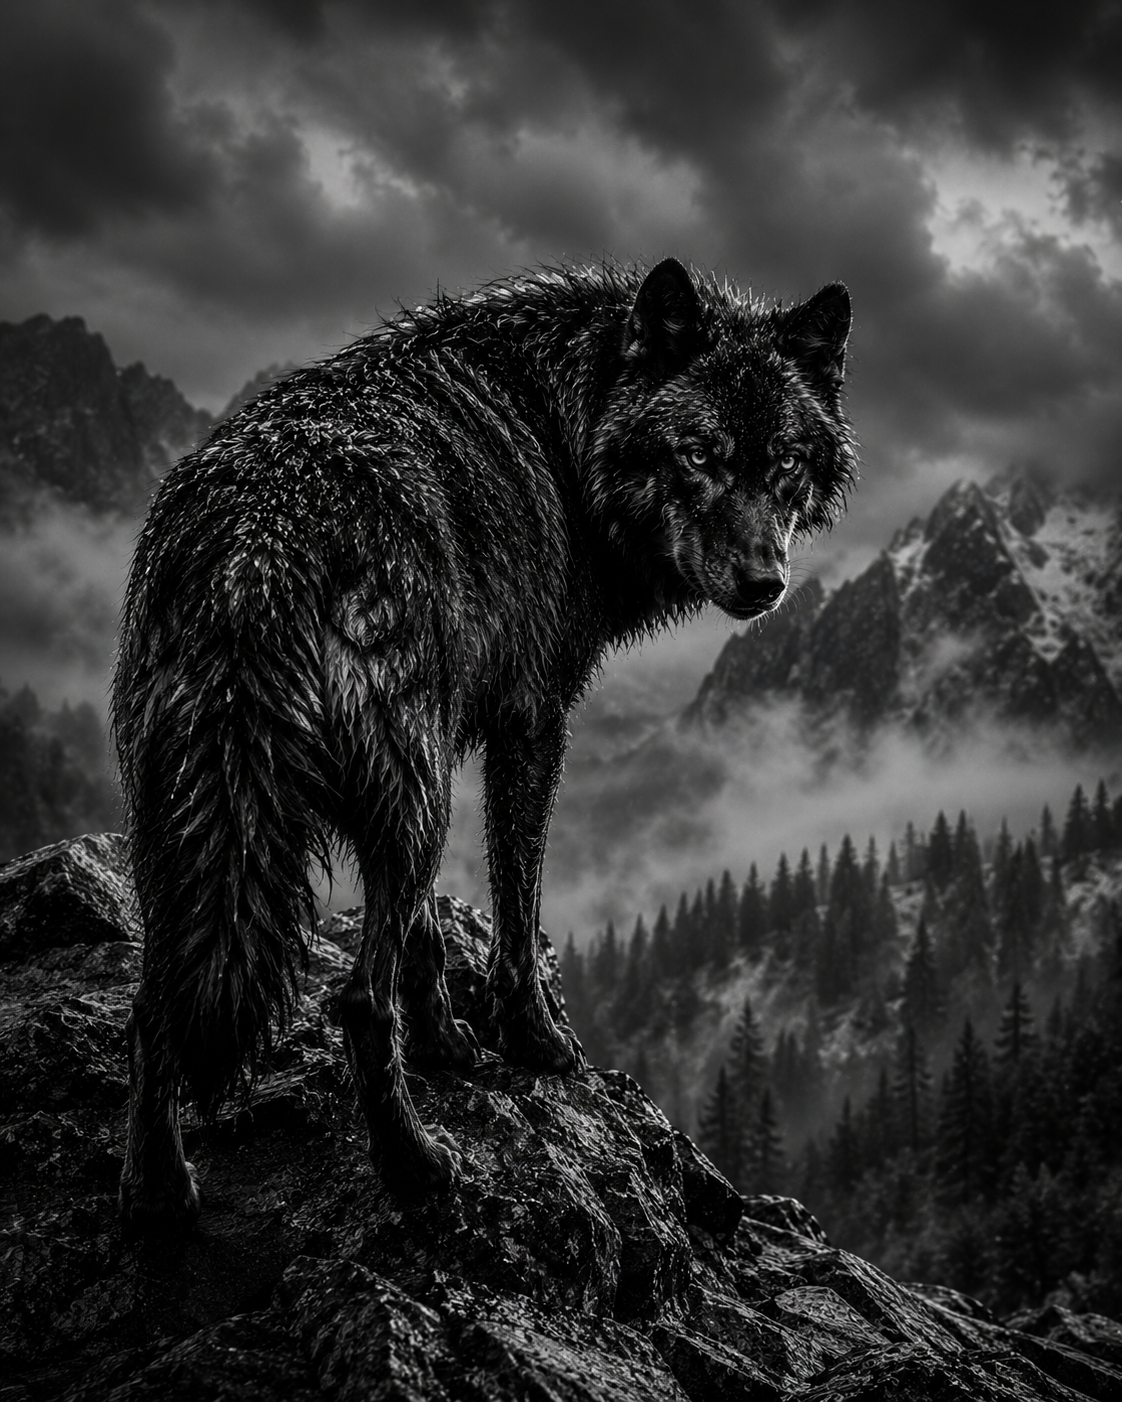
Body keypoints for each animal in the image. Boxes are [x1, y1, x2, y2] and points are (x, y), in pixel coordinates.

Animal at [113, 257, 856, 1233]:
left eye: (784, 464)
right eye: (700, 455)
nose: (765, 583)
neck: (570, 421)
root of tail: (254, 551)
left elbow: (427, 926)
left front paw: (446, 1040)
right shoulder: (531, 720)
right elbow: (516, 902)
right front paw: (535, 1040)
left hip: (193, 825)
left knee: (151, 1004)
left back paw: (159, 1195)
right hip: (412, 799)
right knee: (355, 1000)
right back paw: (416, 1167)